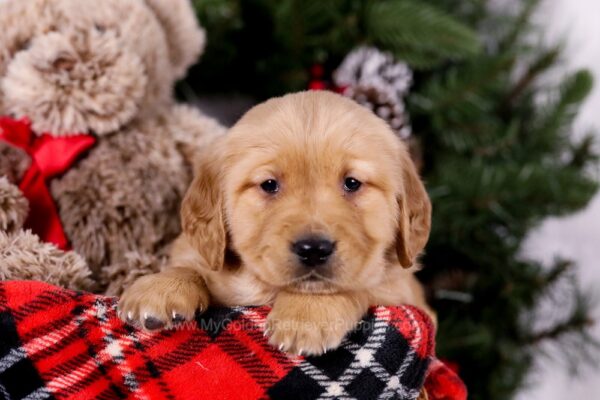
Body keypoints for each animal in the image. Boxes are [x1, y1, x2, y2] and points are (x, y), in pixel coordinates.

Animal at [119, 91, 432, 356]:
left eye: (352, 183)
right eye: (269, 184)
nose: (314, 249)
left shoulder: (404, 293)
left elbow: (356, 286)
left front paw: (305, 315)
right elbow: (190, 266)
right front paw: (160, 288)